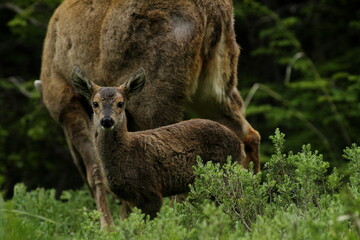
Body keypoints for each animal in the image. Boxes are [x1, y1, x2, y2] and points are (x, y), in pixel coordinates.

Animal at [39, 0, 260, 227]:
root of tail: (214, 11)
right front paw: (124, 220)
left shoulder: (65, 100)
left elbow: (95, 170)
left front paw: (108, 226)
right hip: (216, 84)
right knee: (249, 134)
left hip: (156, 90)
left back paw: (178, 215)